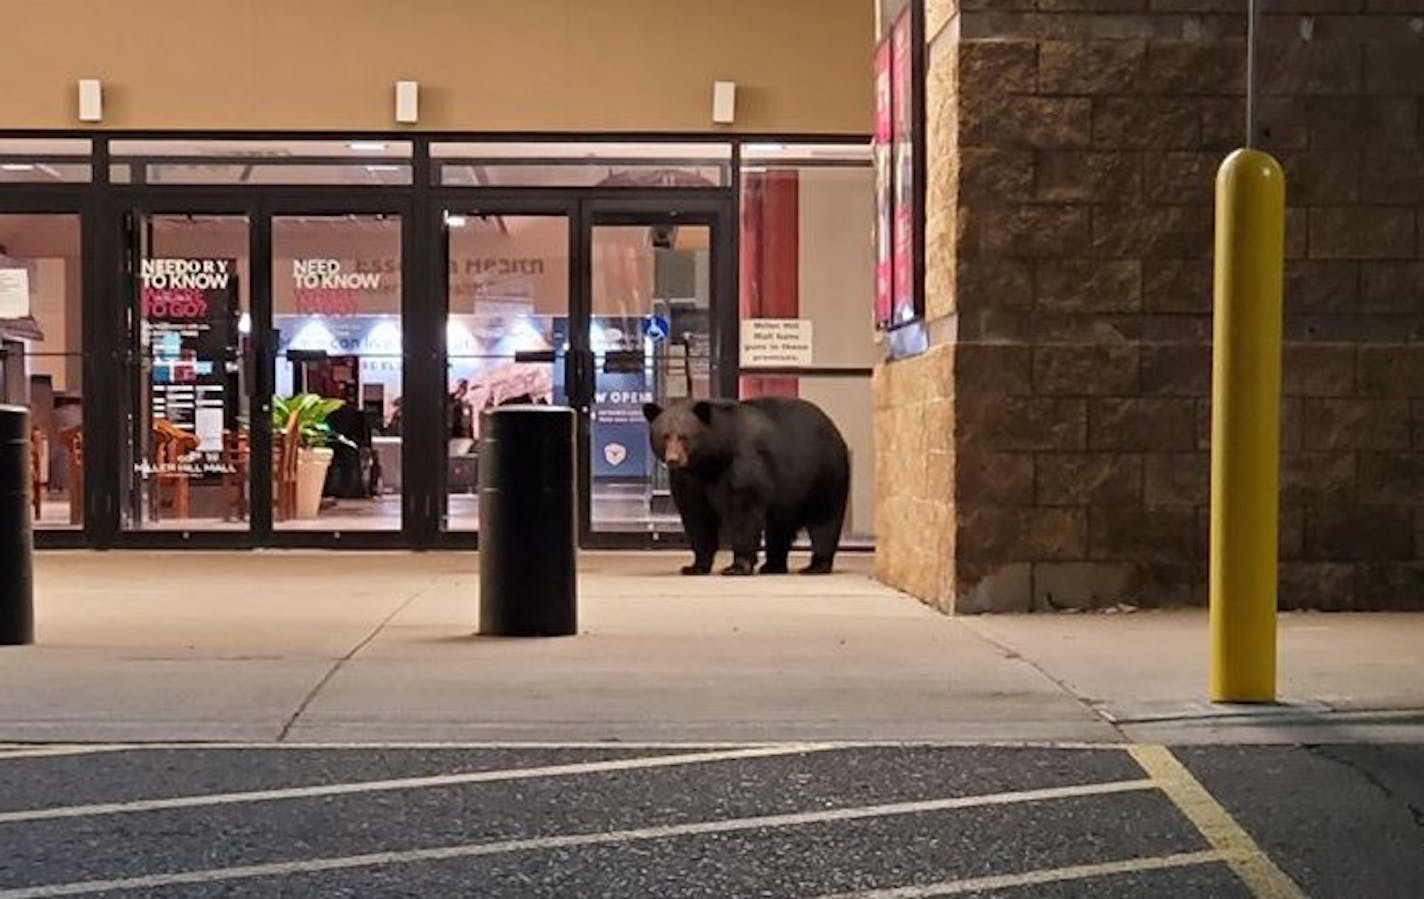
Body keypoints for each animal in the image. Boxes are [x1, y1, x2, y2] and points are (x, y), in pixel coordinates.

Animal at [643, 398, 843, 575]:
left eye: (684, 436)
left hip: (822, 475)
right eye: (665, 436)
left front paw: (737, 566)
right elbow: (696, 516)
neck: (712, 461)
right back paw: (772, 566)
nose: (673, 460)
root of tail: (833, 427)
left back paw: (816, 565)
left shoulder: (745, 461)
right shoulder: (689, 479)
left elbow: (743, 511)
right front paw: (695, 566)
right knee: (778, 528)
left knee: (824, 520)